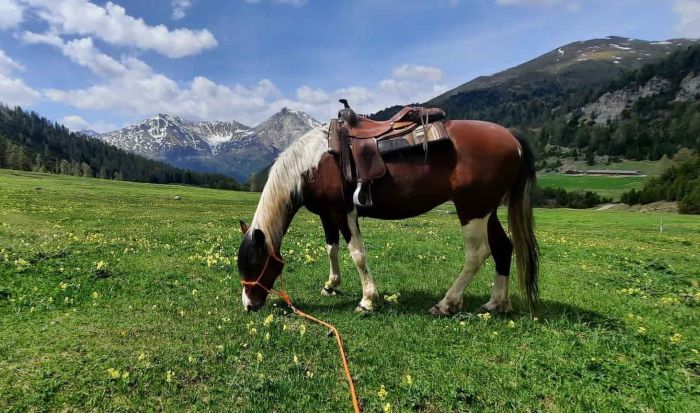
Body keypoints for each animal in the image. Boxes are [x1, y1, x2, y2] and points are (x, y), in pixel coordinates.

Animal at [238, 117, 540, 314]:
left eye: (255, 265)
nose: (249, 305)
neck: (313, 163)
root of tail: (512, 137)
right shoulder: (327, 214)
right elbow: (331, 249)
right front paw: (331, 285)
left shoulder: (344, 211)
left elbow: (357, 253)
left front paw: (368, 300)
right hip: (486, 209)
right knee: (503, 247)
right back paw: (497, 303)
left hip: (472, 209)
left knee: (477, 253)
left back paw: (447, 303)